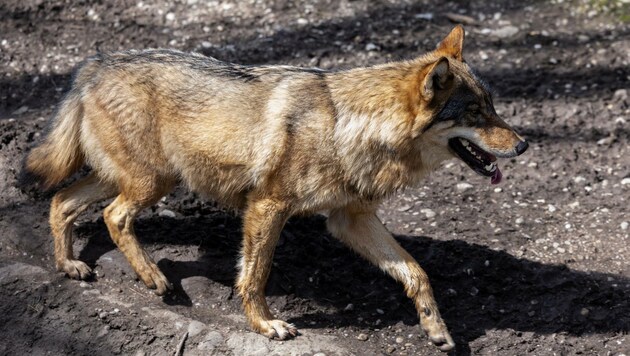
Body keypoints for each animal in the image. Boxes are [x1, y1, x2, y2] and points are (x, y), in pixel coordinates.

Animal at [23, 26, 528, 352]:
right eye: (476, 114)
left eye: (493, 107)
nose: (524, 145)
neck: (349, 126)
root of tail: (93, 65)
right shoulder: (268, 206)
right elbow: (255, 275)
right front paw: (265, 325)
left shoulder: (351, 219)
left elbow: (416, 271)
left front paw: (436, 330)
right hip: (152, 182)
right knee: (112, 216)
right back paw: (153, 278)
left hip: (131, 178)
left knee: (61, 202)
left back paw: (70, 266)